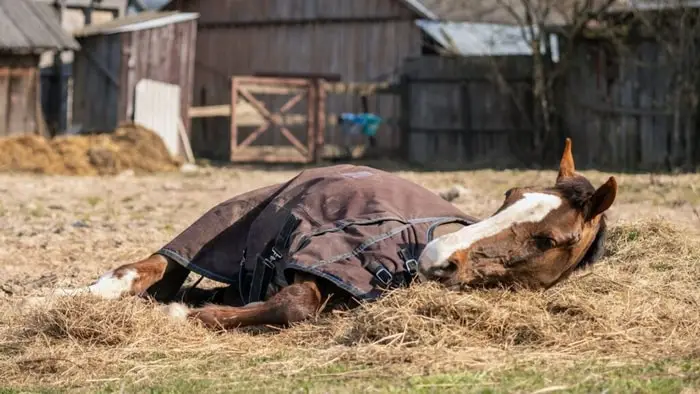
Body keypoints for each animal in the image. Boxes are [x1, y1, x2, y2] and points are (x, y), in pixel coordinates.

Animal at [20, 139, 612, 330]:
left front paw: (193, 312)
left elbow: (293, 302)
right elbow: (299, 302)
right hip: (218, 226)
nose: (436, 257)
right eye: (509, 195)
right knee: (149, 267)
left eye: (548, 240)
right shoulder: (323, 260)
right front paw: (187, 316)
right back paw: (75, 296)